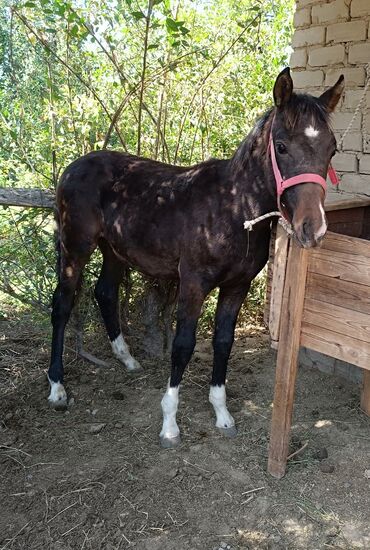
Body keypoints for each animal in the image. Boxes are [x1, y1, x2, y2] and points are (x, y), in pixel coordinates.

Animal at [48, 68, 344, 448]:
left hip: (114, 250)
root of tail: (72, 167)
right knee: (63, 305)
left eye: (331, 148)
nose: (313, 227)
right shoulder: (193, 284)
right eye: (281, 146)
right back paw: (57, 387)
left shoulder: (236, 287)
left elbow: (223, 342)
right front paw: (169, 424)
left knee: (105, 292)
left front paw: (222, 413)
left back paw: (127, 359)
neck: (233, 208)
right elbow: (183, 345)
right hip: (75, 248)